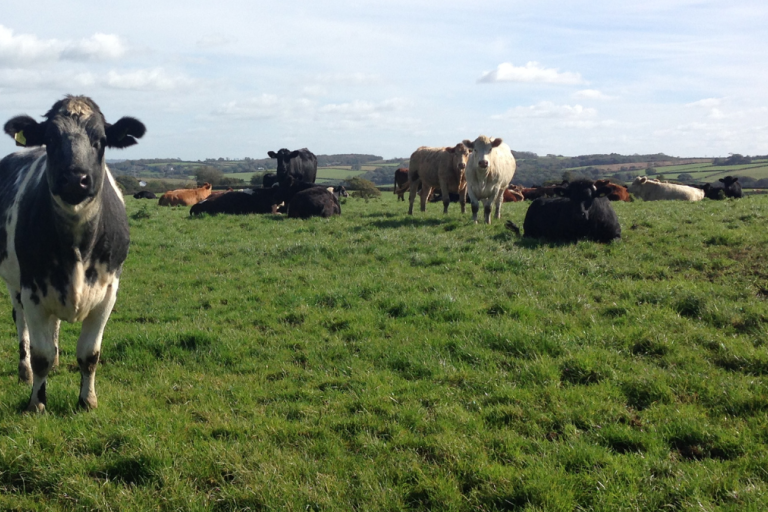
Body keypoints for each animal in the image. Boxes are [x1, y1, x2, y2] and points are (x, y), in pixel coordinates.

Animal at [0, 96, 146, 412]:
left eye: (101, 140)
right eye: (51, 139)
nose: (74, 179)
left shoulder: (108, 292)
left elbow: (89, 354)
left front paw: (87, 400)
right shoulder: (32, 289)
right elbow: (40, 354)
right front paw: (37, 402)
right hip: (14, 284)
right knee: (22, 324)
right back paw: (25, 371)